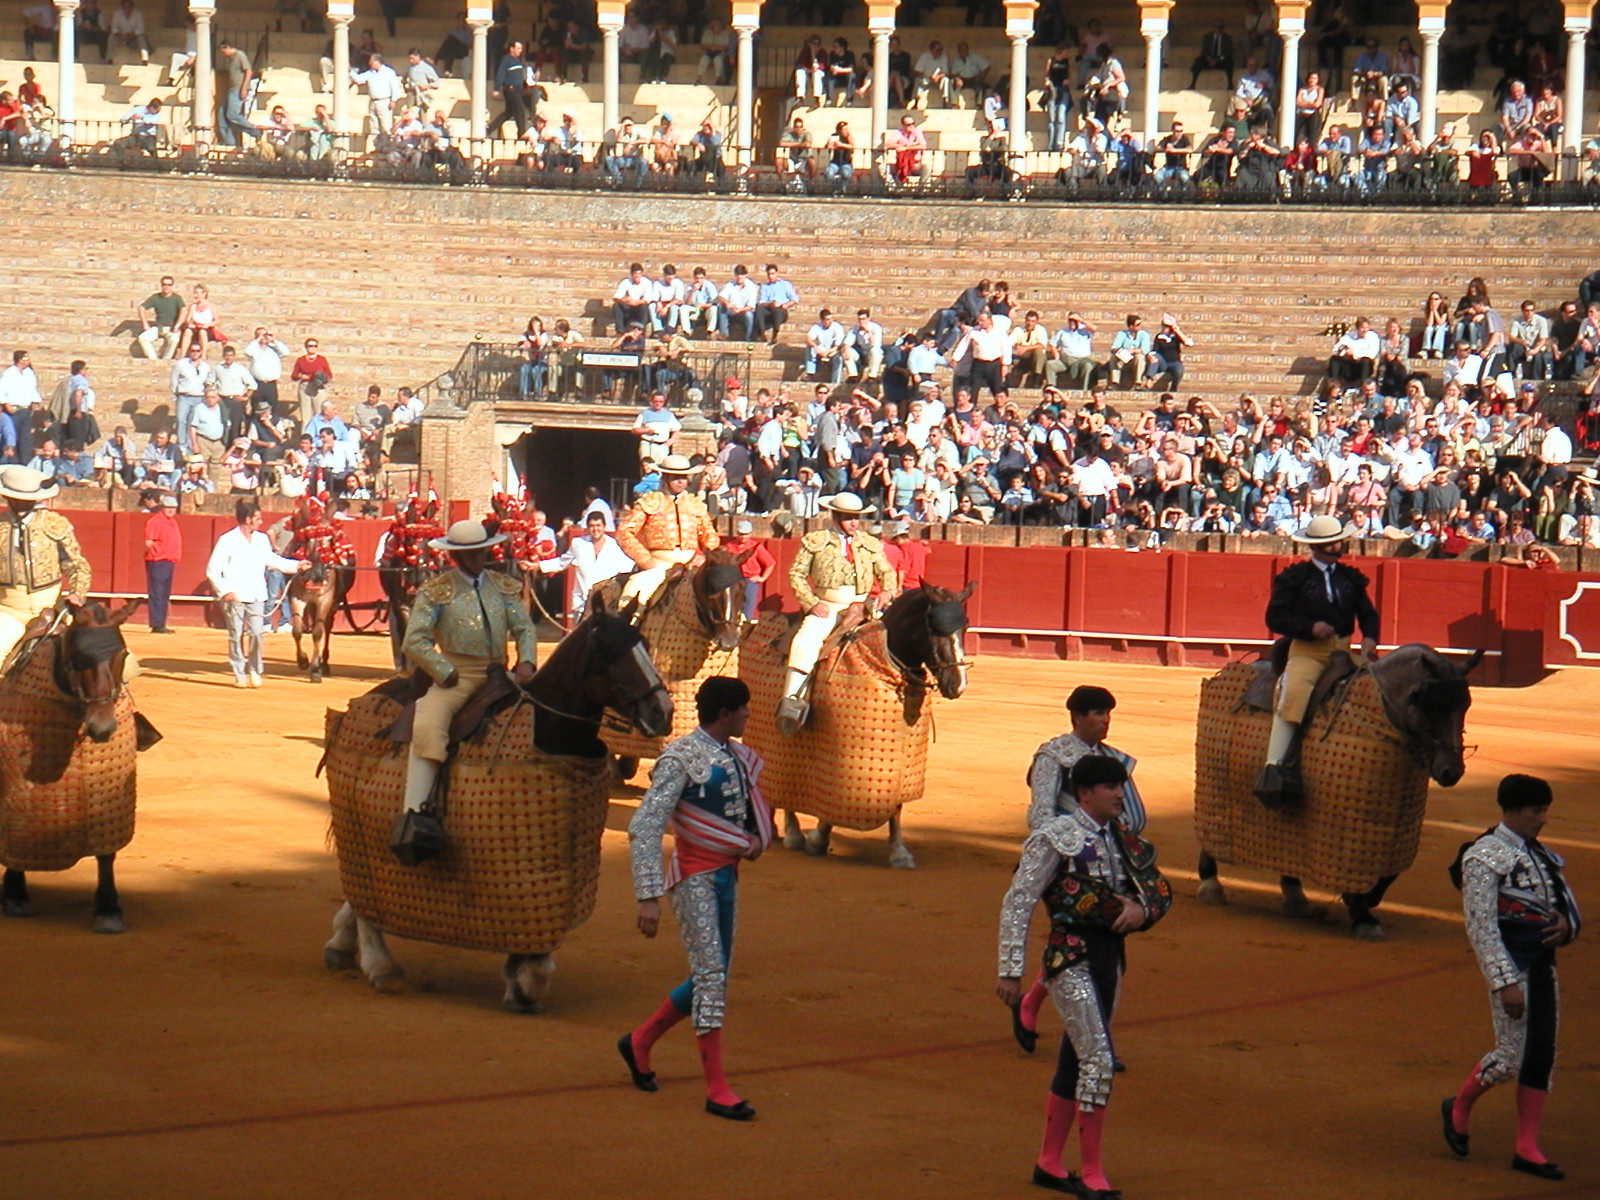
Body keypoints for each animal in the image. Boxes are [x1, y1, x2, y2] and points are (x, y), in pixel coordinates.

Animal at [0, 599, 151, 934]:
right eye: (76, 659)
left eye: (122, 656)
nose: (102, 728)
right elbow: (17, 839)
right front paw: (15, 894)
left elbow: (106, 853)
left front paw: (108, 908)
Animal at [322, 595, 673, 1012]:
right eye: (609, 651)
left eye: (645, 645)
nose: (662, 712)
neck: (551, 728)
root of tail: (357, 705)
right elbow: (535, 951)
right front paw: (523, 983)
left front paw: (520, 982)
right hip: (362, 827)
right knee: (365, 894)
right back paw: (381, 966)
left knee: (358, 896)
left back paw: (342, 945)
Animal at [739, 580, 975, 869]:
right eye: (932, 627)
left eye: (965, 627)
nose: (958, 684)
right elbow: (832, 801)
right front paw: (818, 838)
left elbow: (895, 806)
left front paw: (900, 852)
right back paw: (791, 832)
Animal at [1193, 643, 1481, 939]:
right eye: (1428, 704)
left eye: (1465, 704)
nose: (1451, 771)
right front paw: (1362, 915)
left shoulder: (1397, 828)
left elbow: (1388, 874)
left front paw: (1365, 904)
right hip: (1214, 782)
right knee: (1210, 828)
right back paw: (1210, 884)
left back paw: (1295, 896)